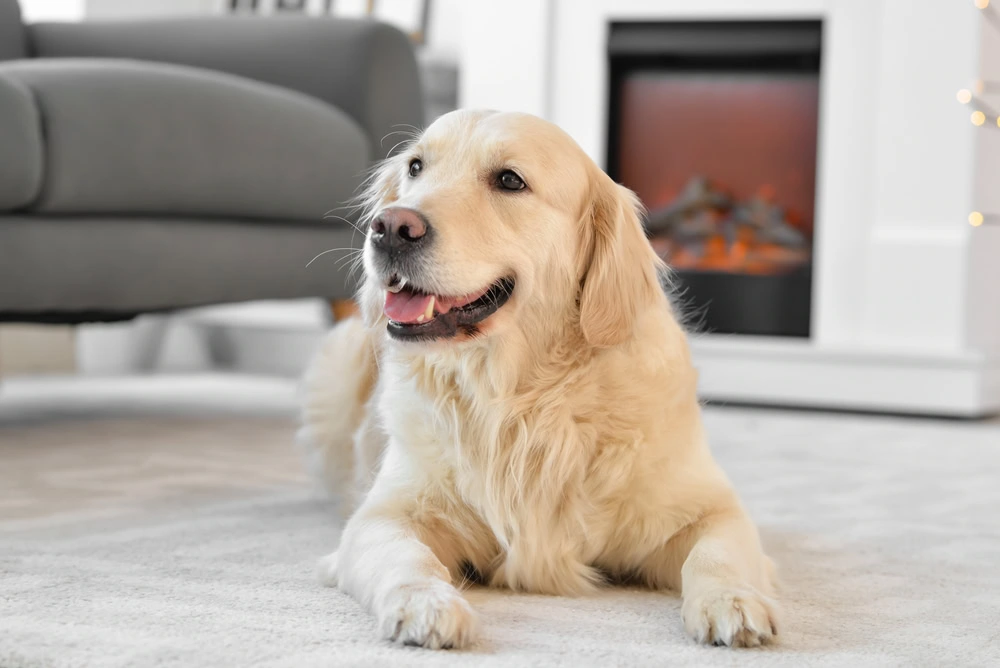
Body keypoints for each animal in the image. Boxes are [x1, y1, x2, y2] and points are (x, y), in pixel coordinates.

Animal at [300, 108, 776, 648]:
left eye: (510, 180)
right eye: (415, 168)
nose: (390, 227)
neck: (520, 396)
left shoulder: (710, 509)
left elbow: (715, 553)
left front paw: (732, 601)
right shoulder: (384, 515)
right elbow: (405, 555)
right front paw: (425, 603)